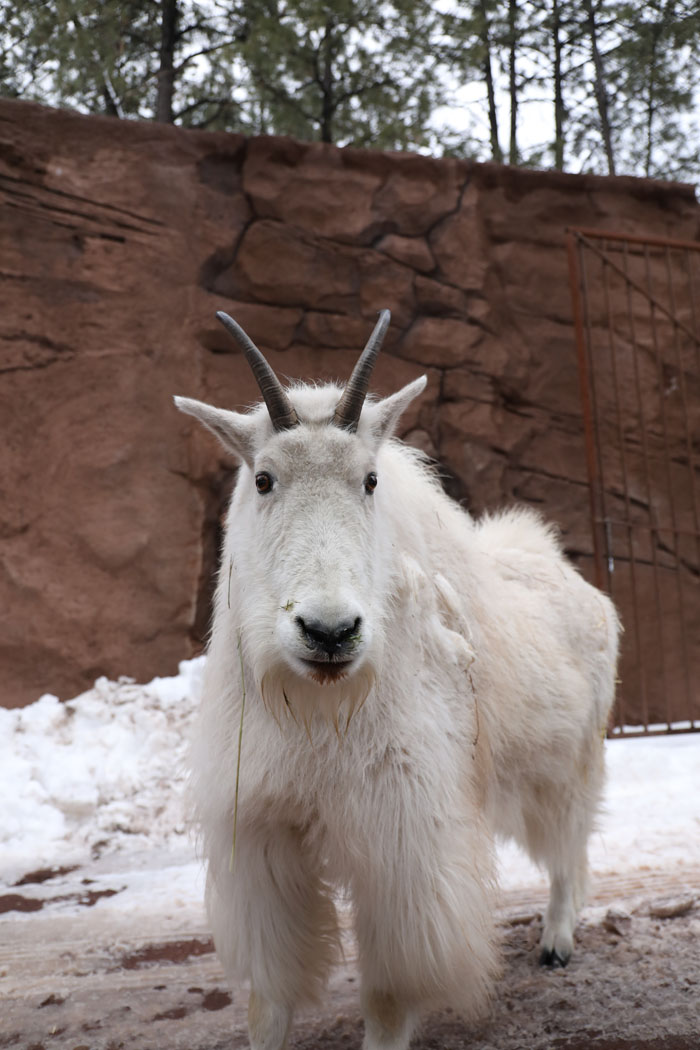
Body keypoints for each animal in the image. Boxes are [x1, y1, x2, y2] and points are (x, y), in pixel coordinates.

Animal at [175, 309, 620, 1050]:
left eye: (370, 480)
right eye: (263, 479)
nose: (330, 632)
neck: (319, 707)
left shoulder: (402, 841)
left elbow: (388, 993)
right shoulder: (264, 831)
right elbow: (271, 996)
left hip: (566, 765)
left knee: (570, 849)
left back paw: (557, 942)